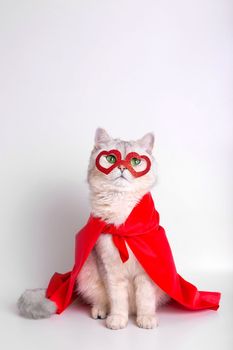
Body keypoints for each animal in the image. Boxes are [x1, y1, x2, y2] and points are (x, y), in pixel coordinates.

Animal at [17, 128, 168, 328]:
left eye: (135, 161)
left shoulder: (147, 272)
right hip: (87, 273)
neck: (122, 228)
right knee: (101, 300)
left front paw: (146, 319)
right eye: (111, 158)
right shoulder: (109, 270)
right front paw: (117, 319)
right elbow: (117, 299)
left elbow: (145, 299)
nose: (122, 168)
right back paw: (101, 312)